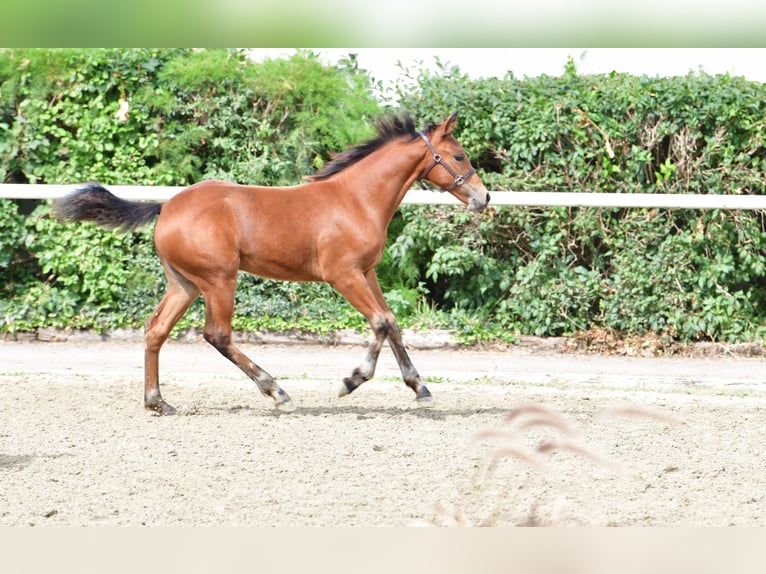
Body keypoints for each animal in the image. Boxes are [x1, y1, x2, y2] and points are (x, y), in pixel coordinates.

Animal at [55, 111, 490, 415]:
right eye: (458, 155)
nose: (483, 197)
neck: (356, 199)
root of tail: (166, 207)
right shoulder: (343, 275)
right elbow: (382, 322)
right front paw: (351, 381)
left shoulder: (367, 272)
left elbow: (393, 324)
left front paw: (420, 388)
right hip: (219, 279)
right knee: (217, 334)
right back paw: (277, 390)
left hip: (185, 283)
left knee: (155, 329)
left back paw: (157, 402)